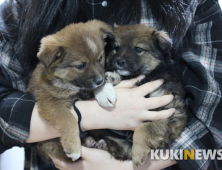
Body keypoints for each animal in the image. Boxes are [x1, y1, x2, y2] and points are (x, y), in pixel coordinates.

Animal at [26, 19, 113, 162]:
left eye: (100, 58)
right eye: (80, 65)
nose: (100, 81)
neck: (70, 85)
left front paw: (105, 92)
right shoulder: (50, 103)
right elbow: (69, 120)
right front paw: (73, 146)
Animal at [86, 24, 187, 166]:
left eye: (138, 49)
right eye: (116, 48)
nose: (120, 61)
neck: (145, 77)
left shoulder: (170, 113)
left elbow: (144, 128)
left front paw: (138, 152)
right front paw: (112, 77)